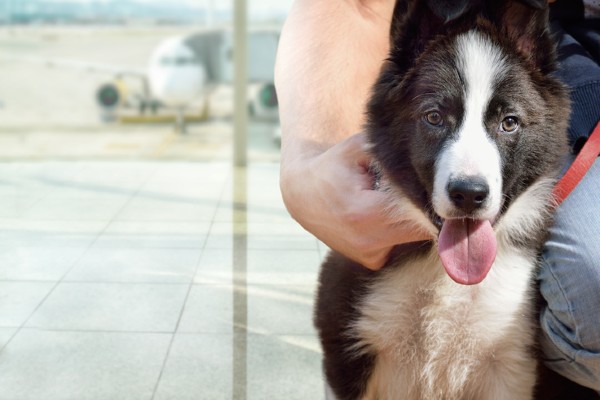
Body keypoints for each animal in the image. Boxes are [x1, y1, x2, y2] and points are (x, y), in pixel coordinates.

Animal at [314, 0, 596, 400]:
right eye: (434, 117)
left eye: (509, 122)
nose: (469, 194)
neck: (446, 276)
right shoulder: (348, 348)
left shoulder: (511, 363)